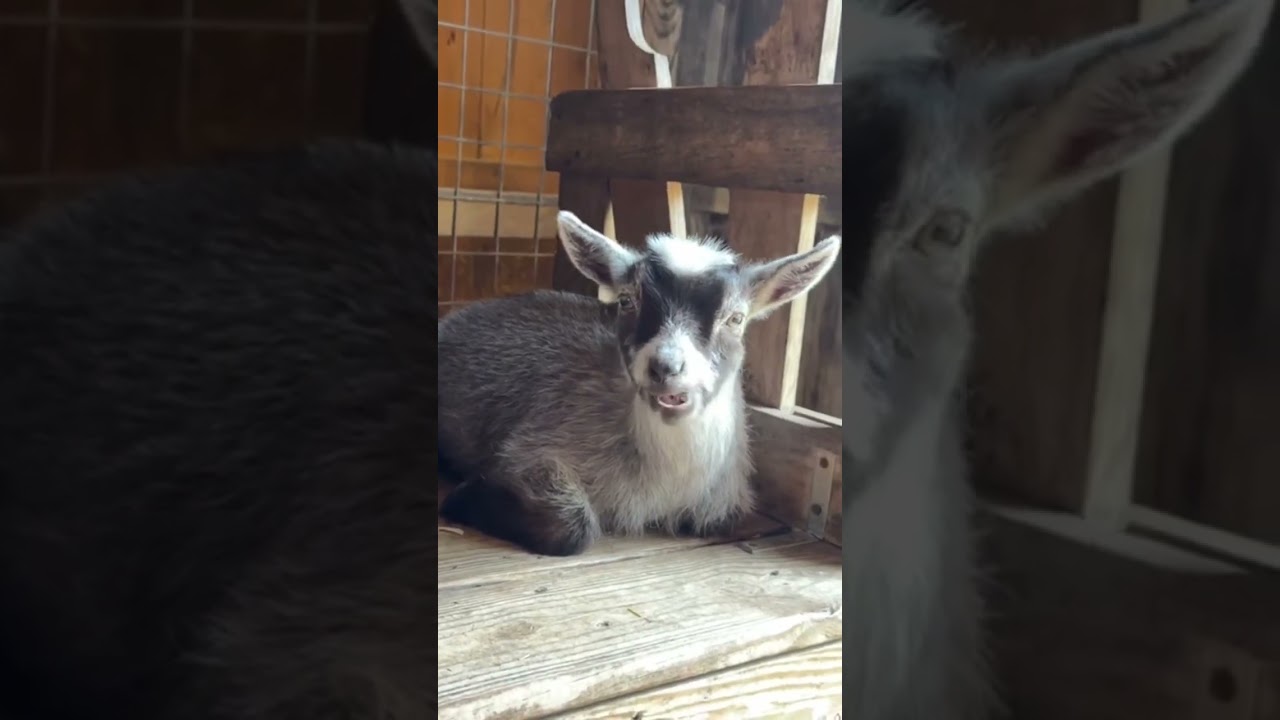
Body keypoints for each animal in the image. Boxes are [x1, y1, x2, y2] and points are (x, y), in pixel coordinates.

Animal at [438, 212, 841, 557]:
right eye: (626, 300)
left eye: (736, 318)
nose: (665, 366)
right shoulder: (535, 445)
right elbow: (572, 527)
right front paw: (466, 497)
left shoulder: (724, 500)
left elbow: (719, 519)